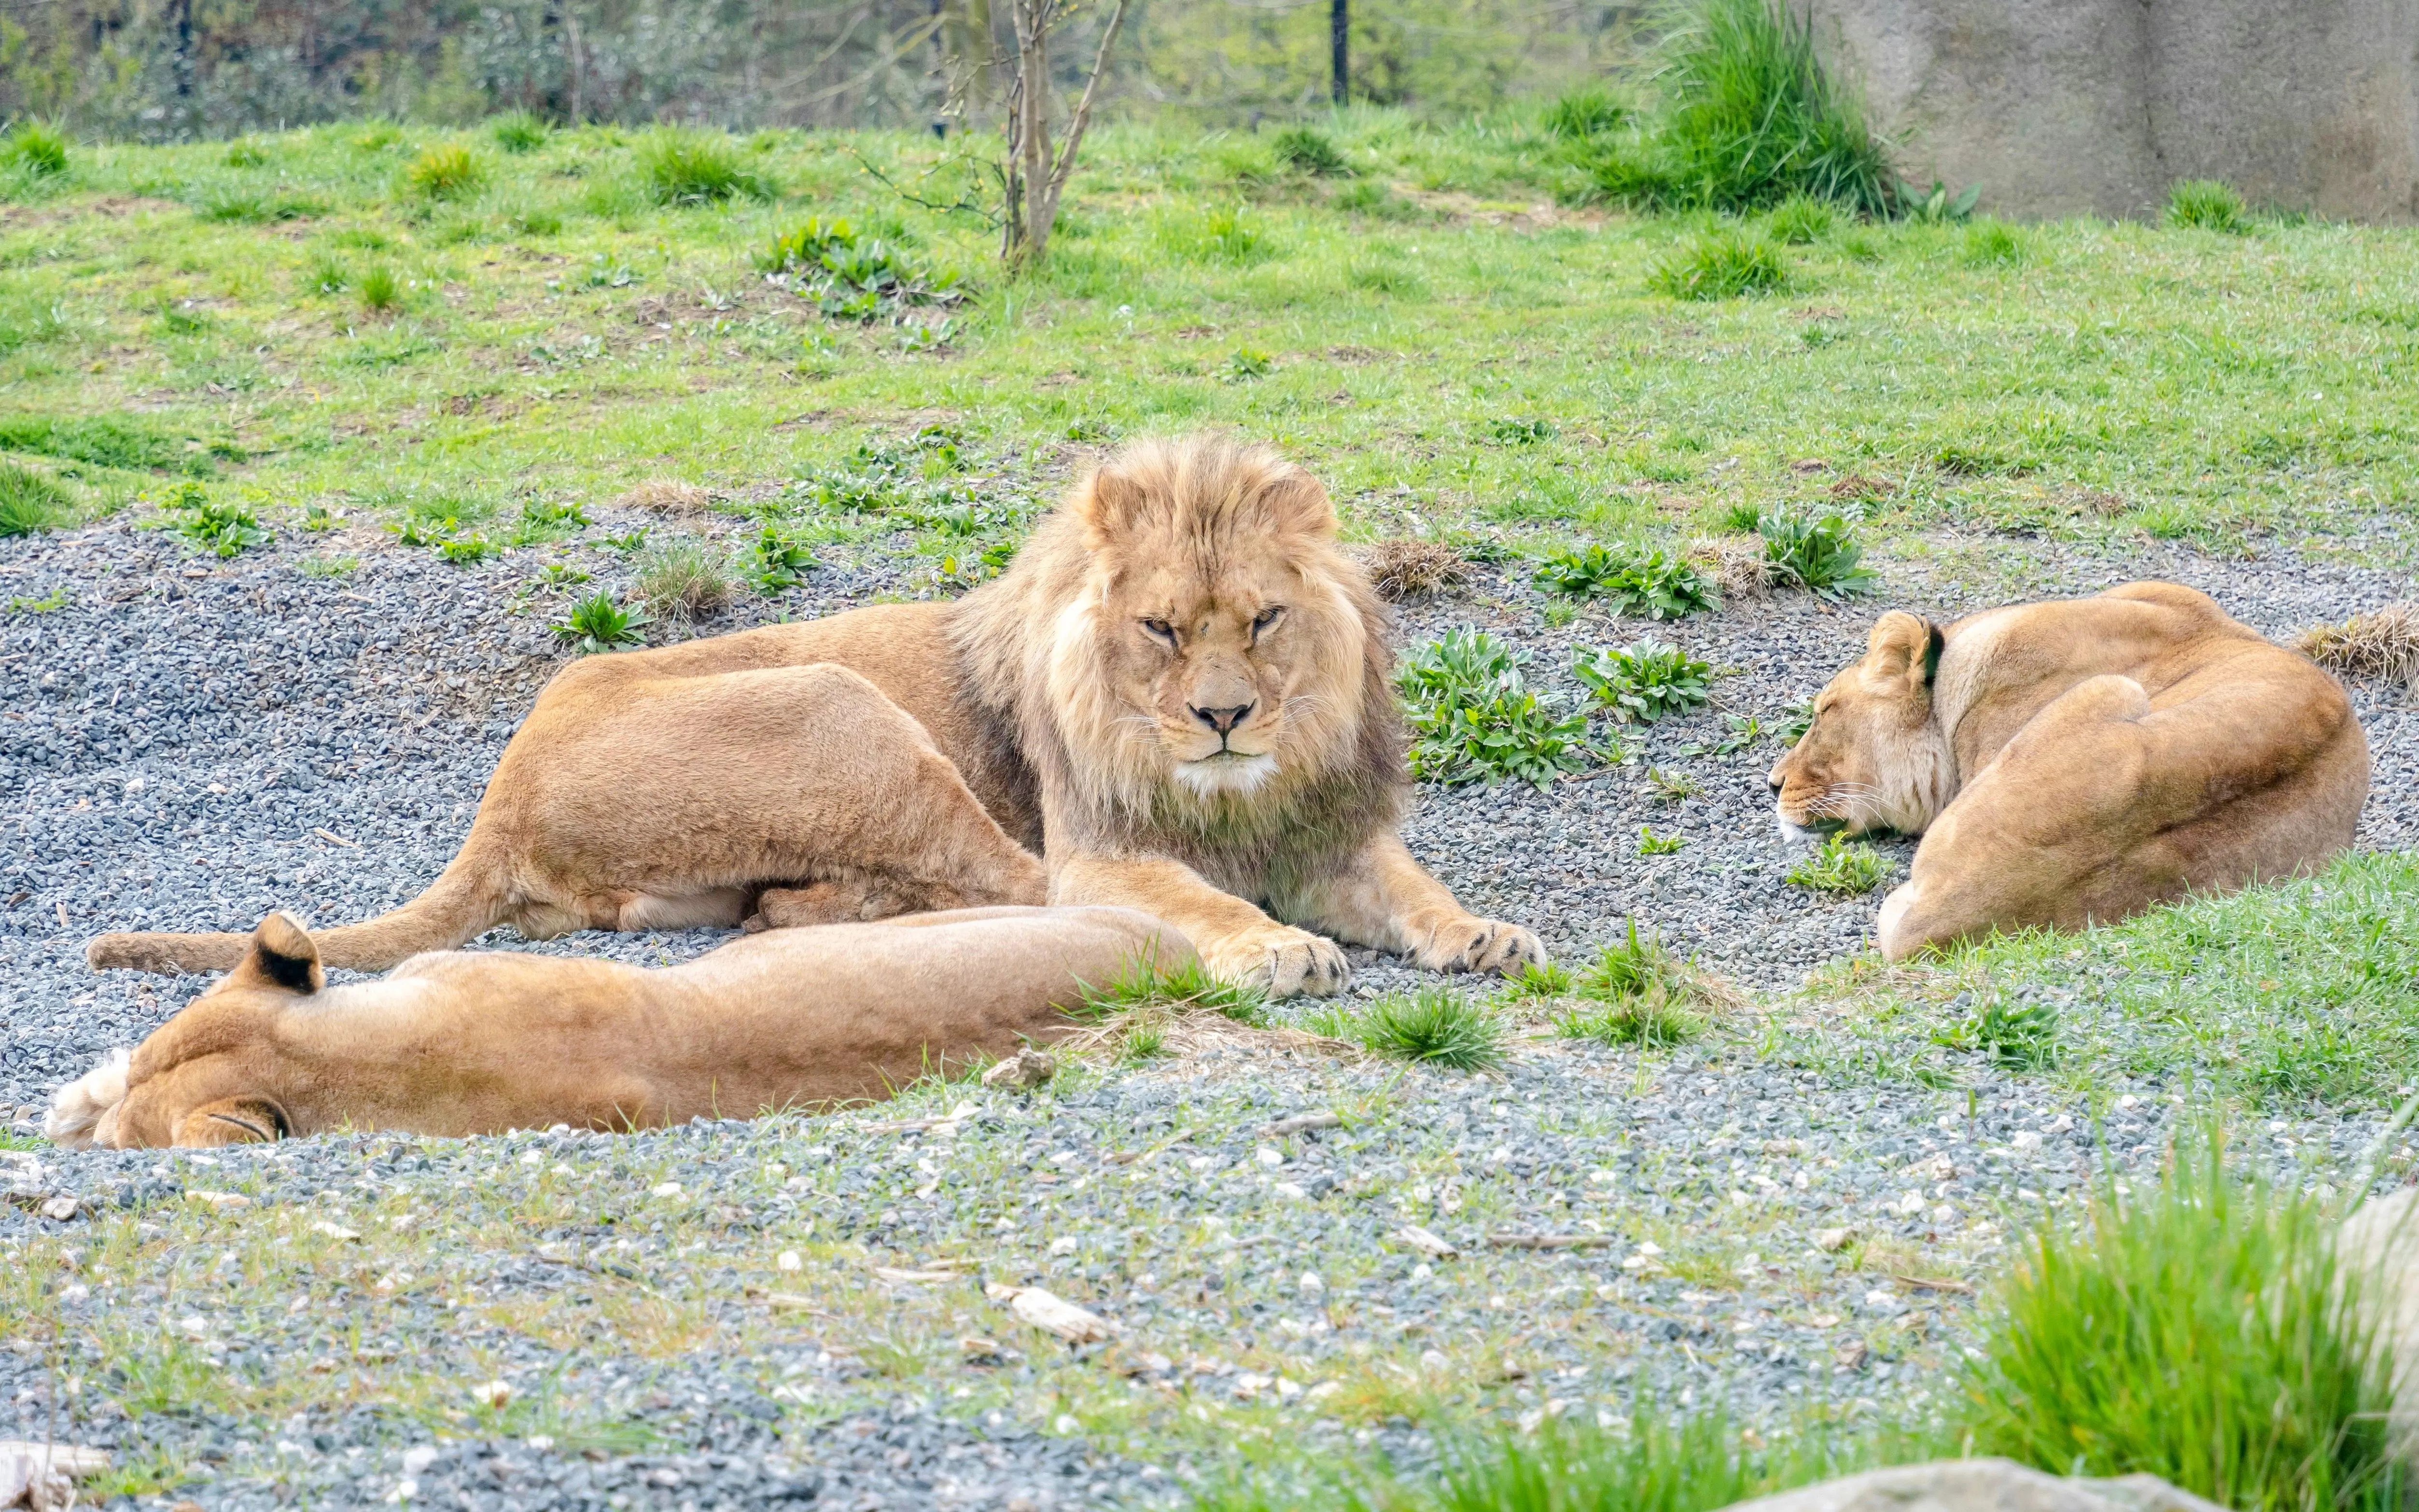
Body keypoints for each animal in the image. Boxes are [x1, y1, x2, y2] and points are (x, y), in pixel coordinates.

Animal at [87, 436, 1541, 997]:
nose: (1227, 717)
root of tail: (498, 793)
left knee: (800, 904)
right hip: (838, 700)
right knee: (1002, 884)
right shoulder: (1101, 840)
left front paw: (1484, 932)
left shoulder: (1328, 833)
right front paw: (1271, 945)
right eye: (1162, 630)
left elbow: (1413, 886)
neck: (1233, 793)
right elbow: (1183, 891)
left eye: (1263, 619)